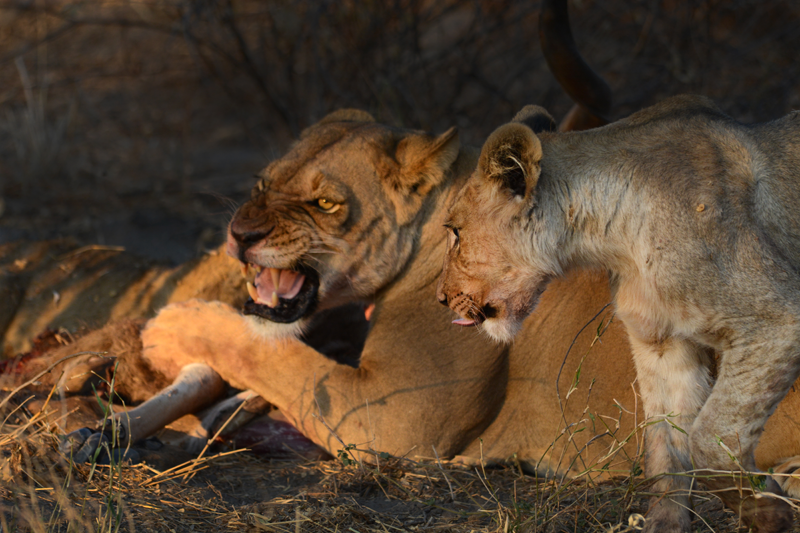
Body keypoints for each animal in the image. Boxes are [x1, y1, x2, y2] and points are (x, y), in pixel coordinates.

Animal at [437, 99, 800, 532]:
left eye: (456, 232)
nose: (441, 298)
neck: (613, 237)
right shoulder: (662, 344)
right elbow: (666, 448)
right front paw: (665, 523)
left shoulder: (775, 319)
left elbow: (710, 439)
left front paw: (771, 511)